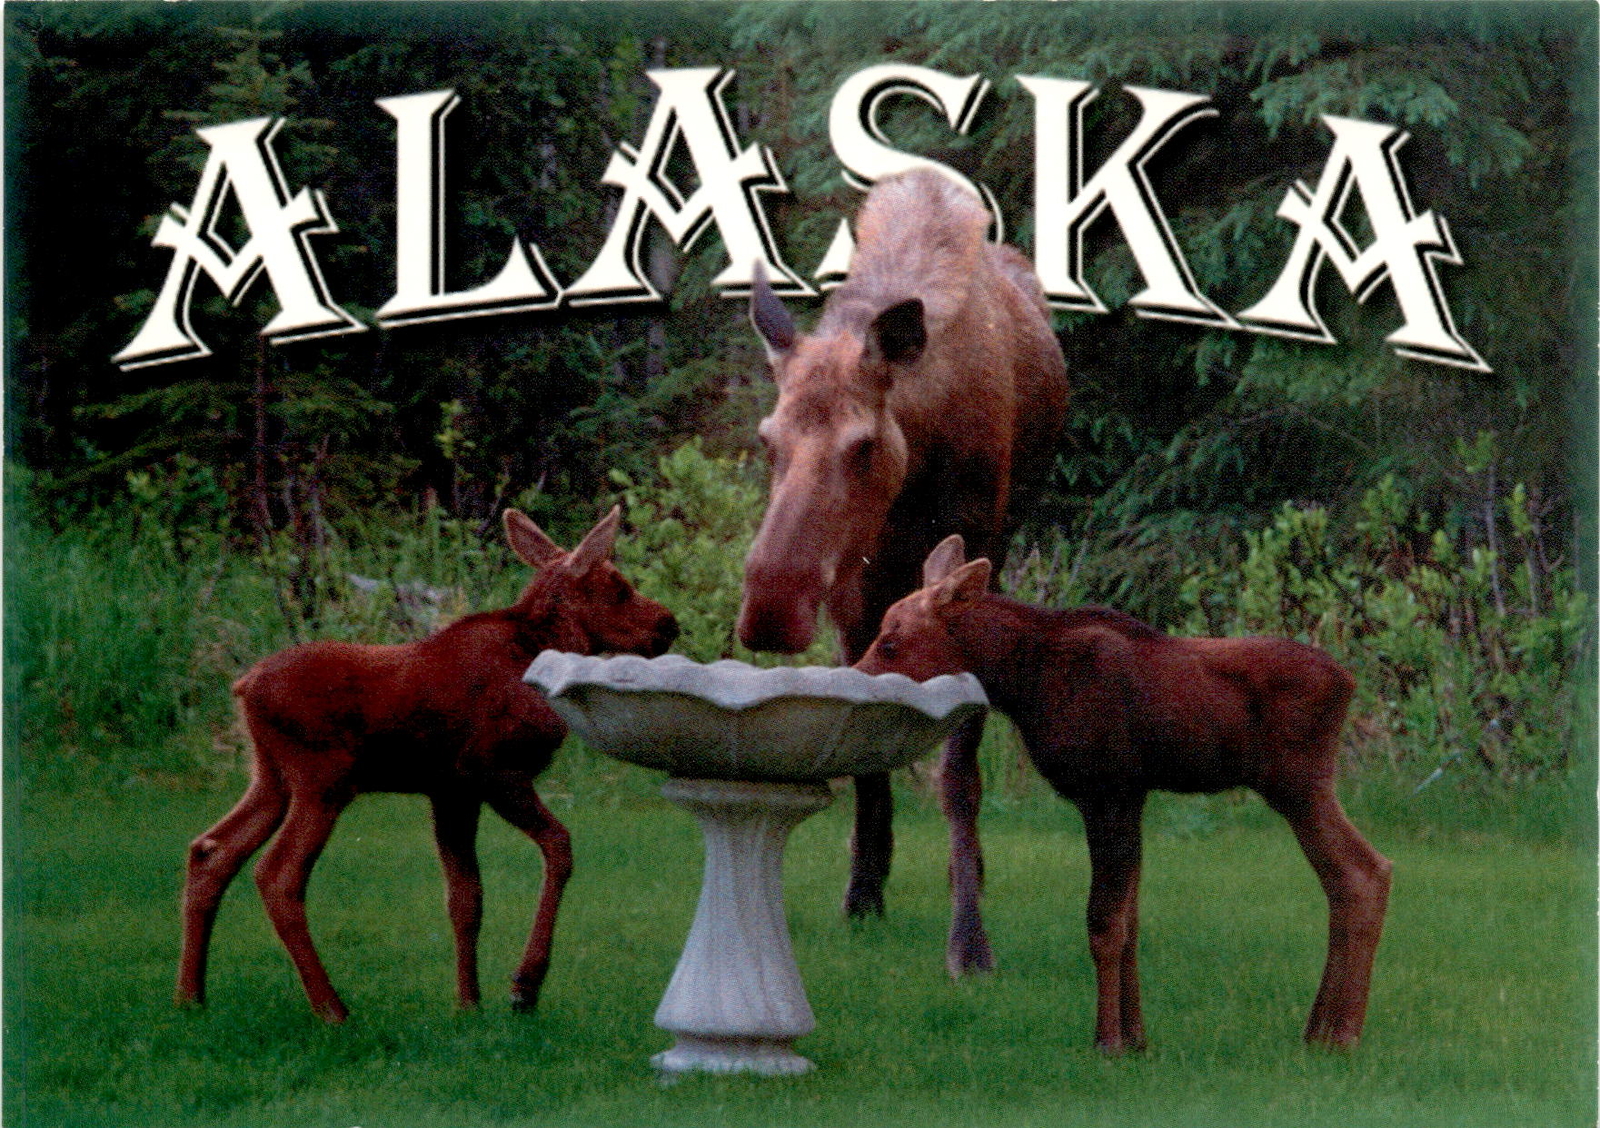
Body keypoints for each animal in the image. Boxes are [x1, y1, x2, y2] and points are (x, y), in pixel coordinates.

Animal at [176, 506, 678, 1023]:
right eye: (618, 587)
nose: (668, 624)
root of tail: (244, 686)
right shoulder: (494, 770)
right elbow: (558, 848)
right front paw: (524, 986)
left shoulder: (451, 790)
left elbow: (466, 898)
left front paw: (468, 1003)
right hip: (323, 777)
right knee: (277, 874)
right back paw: (332, 1007)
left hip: (271, 777)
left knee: (211, 851)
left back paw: (191, 995)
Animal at [739, 169, 1069, 975]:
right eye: (768, 438)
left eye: (861, 444)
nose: (772, 605)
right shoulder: (854, 588)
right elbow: (863, 741)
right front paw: (862, 891)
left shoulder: (973, 551)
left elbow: (958, 769)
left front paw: (968, 935)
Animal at [855, 536, 1391, 1051]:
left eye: (890, 641)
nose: (857, 678)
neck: (1022, 682)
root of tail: (1349, 683)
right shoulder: (1132, 795)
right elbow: (1130, 923)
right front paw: (1136, 1038)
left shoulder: (1106, 790)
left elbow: (1104, 923)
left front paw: (1107, 1040)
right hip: (1303, 786)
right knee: (1356, 875)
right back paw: (1320, 1028)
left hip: (1297, 784)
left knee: (1363, 873)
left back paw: (1343, 1033)